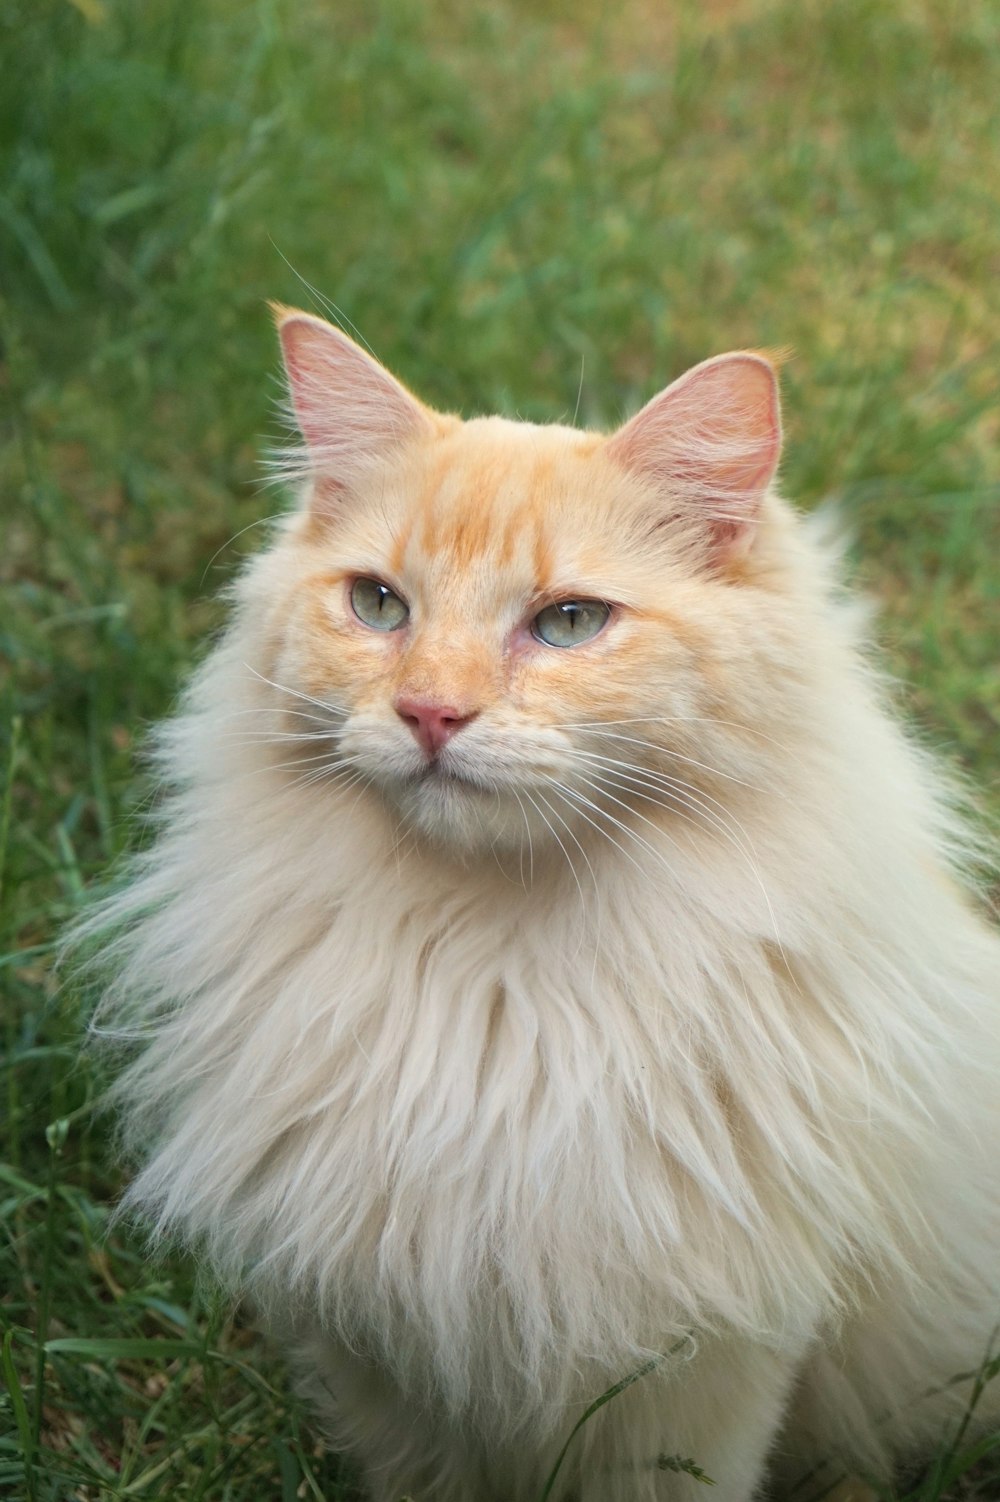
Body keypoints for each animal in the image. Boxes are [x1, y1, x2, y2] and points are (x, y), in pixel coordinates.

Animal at [85, 307, 996, 1502]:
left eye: (567, 623)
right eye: (378, 605)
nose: (430, 713)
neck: (491, 979)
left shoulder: (695, 1374)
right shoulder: (389, 1366)